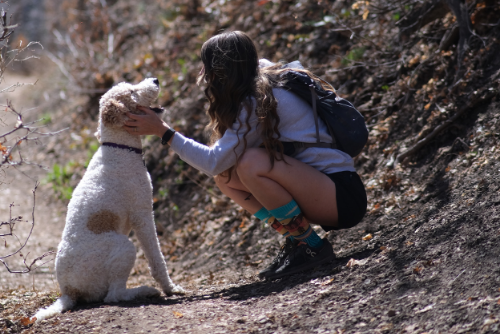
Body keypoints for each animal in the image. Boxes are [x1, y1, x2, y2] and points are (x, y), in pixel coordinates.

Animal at [33, 77, 186, 320]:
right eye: (132, 92)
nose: (155, 80)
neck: (119, 148)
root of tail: (68, 292)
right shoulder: (143, 215)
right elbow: (157, 259)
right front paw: (170, 288)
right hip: (125, 247)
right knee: (114, 295)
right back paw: (144, 290)